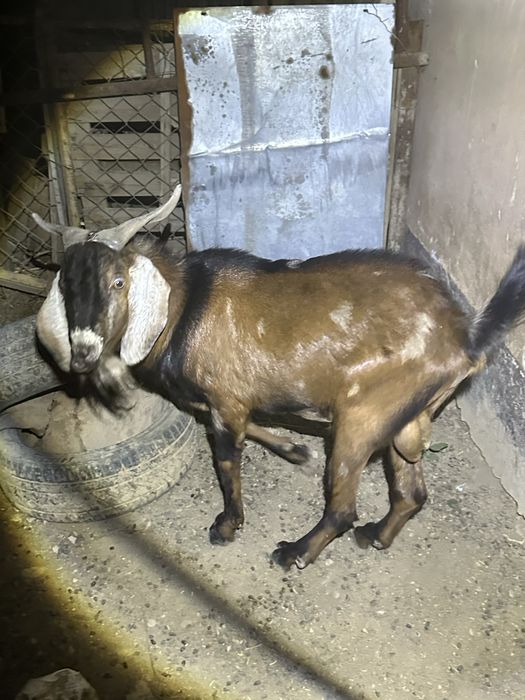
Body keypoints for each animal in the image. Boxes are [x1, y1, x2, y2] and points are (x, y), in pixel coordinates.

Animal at [34, 186, 525, 569]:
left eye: (119, 281)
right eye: (65, 286)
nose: (83, 355)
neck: (185, 307)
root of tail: (464, 335)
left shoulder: (226, 400)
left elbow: (226, 461)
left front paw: (227, 526)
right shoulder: (226, 402)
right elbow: (255, 426)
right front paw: (294, 449)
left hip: (363, 414)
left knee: (344, 507)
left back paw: (295, 552)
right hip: (405, 417)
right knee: (410, 492)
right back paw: (375, 537)